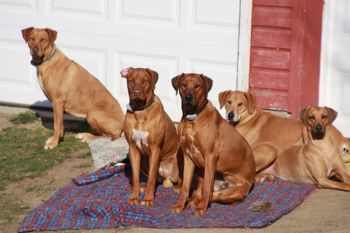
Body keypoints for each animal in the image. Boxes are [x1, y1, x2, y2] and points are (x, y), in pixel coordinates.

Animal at [120, 67, 180, 206]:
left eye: (145, 81)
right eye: (131, 80)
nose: (136, 92)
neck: (140, 111)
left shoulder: (155, 148)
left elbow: (151, 177)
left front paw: (148, 199)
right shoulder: (133, 148)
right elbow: (135, 177)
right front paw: (134, 196)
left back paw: (178, 188)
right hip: (143, 162)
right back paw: (144, 187)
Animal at [171, 73, 256, 215]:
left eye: (197, 86)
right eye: (184, 85)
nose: (188, 97)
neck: (192, 119)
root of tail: (251, 179)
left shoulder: (210, 157)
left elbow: (206, 188)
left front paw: (201, 207)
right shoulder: (188, 157)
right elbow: (186, 187)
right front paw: (180, 205)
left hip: (233, 191)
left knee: (213, 194)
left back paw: (198, 201)